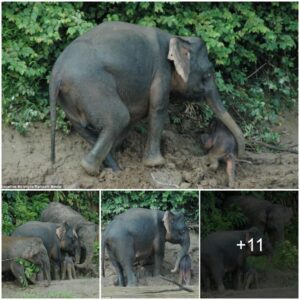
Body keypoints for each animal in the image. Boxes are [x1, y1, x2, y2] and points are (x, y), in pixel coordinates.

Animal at [50, 21, 245, 176]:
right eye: (209, 74)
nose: (238, 153)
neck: (177, 38)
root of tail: (57, 74)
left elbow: (136, 116)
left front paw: (119, 150)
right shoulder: (161, 72)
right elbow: (158, 108)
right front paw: (156, 164)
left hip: (70, 101)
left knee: (87, 127)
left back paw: (114, 168)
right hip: (90, 87)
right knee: (119, 118)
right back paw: (91, 169)